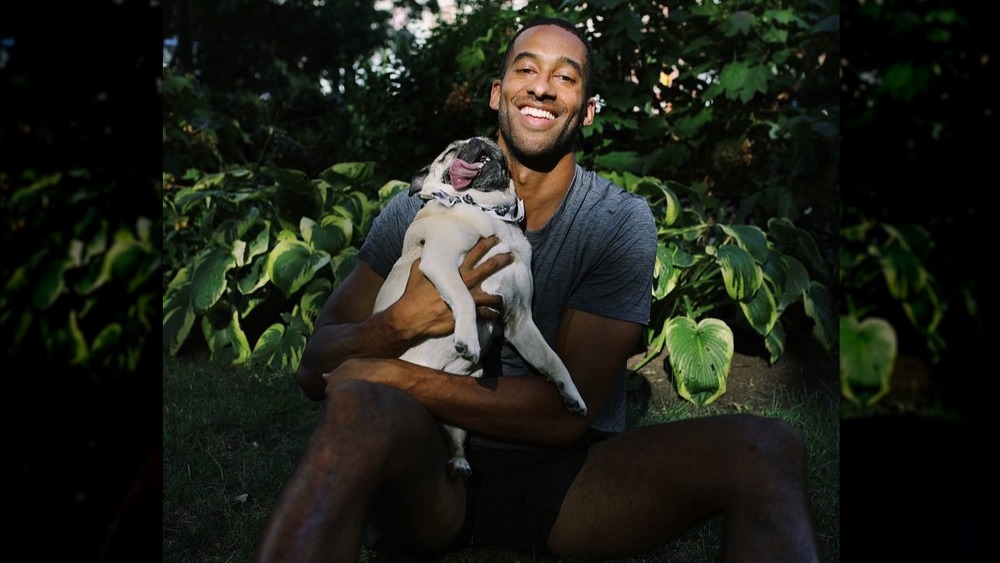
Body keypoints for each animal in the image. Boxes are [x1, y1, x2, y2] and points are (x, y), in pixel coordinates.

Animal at [374, 137, 584, 480]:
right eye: (450, 152)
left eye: (482, 139)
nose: (479, 140)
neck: (489, 211)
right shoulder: (440, 262)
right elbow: (465, 299)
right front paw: (468, 340)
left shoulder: (520, 321)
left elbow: (553, 361)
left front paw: (572, 395)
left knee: (455, 438)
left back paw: (459, 464)